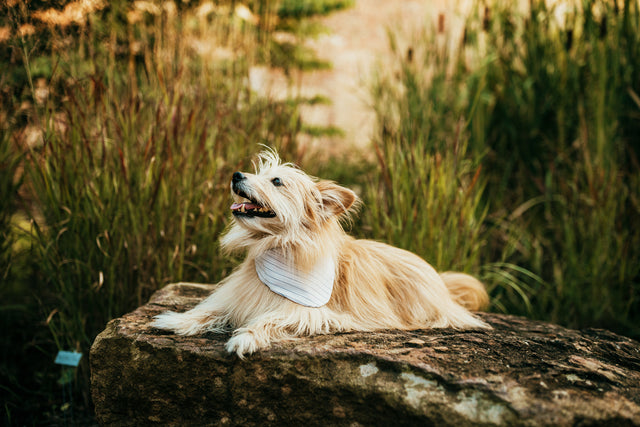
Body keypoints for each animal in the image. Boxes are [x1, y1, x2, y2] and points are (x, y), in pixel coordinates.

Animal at [151, 150, 490, 358]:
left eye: (276, 181)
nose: (236, 175)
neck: (278, 247)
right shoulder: (237, 296)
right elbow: (211, 309)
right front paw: (176, 320)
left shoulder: (308, 311)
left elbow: (269, 319)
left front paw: (245, 337)